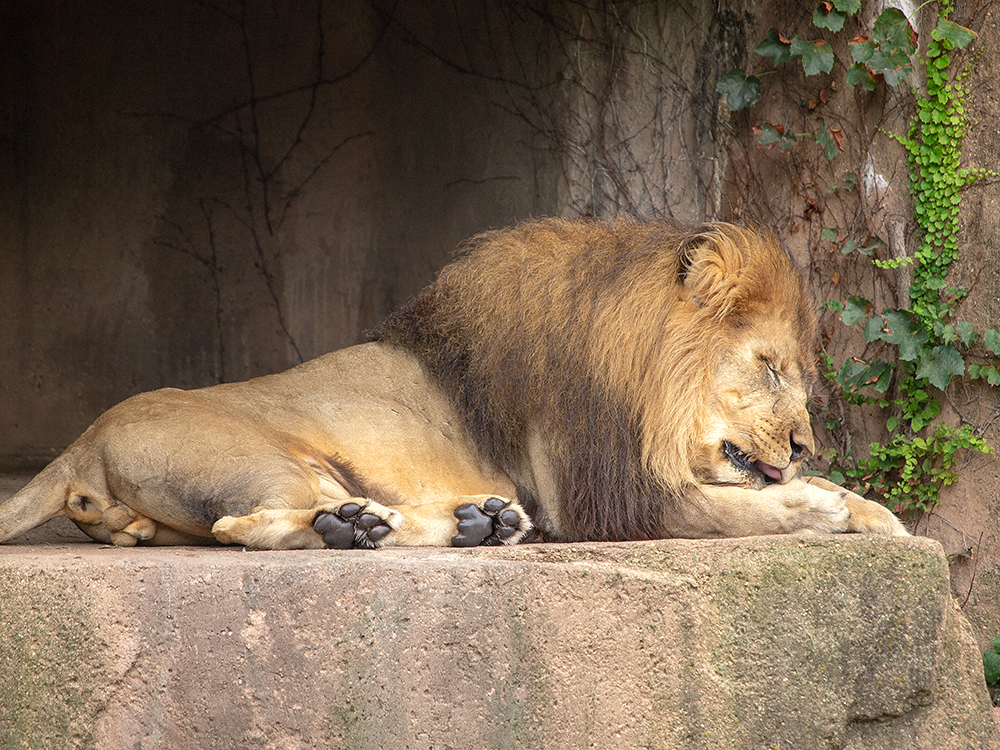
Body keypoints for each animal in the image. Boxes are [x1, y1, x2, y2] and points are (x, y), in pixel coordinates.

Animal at [0, 216, 908, 548]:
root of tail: (81, 443)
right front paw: (819, 508)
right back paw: (365, 528)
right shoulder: (594, 496)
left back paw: (477, 521)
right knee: (245, 527)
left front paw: (878, 514)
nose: (805, 444)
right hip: (261, 459)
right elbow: (730, 511)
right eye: (768, 367)